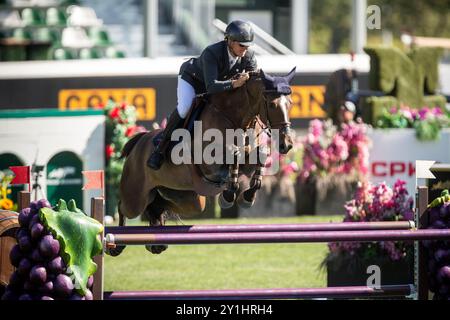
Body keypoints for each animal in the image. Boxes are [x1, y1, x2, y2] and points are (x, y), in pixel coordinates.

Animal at [107, 67, 298, 255]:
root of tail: (138, 142)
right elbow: (233, 154)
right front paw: (228, 196)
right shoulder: (208, 164)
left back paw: (156, 244)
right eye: (272, 105)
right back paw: (116, 246)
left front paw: (248, 196)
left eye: (290, 103)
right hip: (135, 198)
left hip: (188, 200)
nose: (286, 144)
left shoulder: (248, 159)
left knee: (158, 206)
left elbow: (261, 154)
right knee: (123, 207)